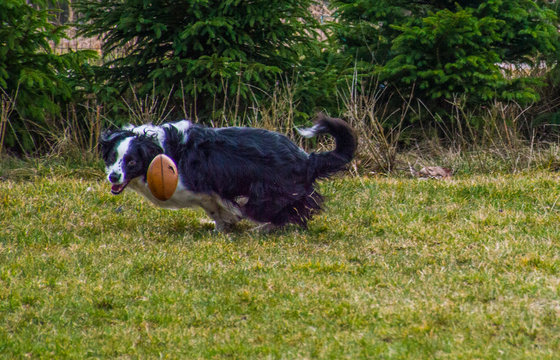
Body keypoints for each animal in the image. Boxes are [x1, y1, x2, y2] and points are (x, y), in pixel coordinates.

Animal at [99, 114, 356, 233]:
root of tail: (306, 158)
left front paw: (226, 223)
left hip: (266, 195)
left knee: (287, 213)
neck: (160, 150)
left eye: (131, 162)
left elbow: (218, 207)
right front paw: (222, 226)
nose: (113, 177)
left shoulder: (203, 189)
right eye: (112, 158)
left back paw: (261, 229)